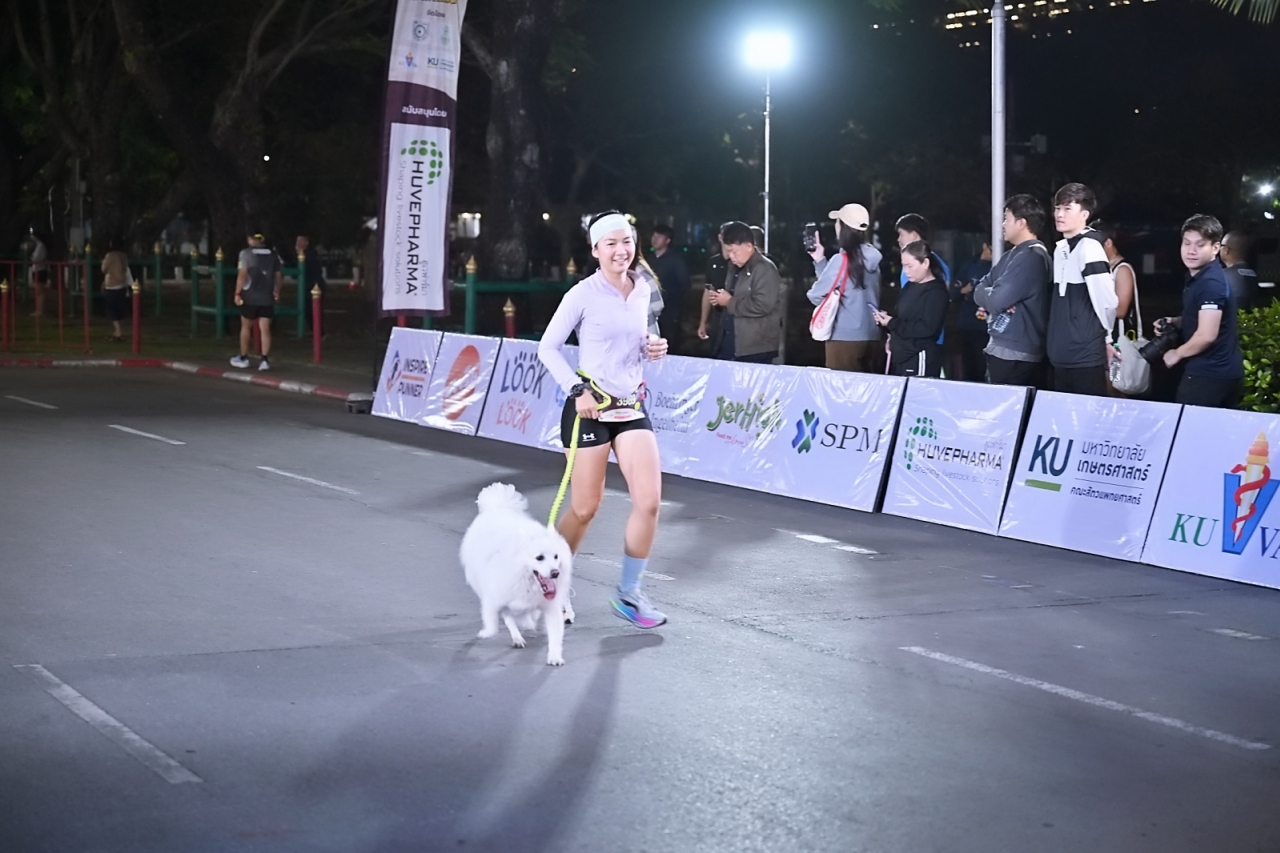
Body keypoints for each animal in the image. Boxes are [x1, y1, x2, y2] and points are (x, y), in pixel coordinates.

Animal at [460, 483, 573, 666]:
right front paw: (487, 632)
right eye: (539, 557)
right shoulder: (494, 598)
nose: (555, 573)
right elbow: (495, 623)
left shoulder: (551, 607)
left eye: (556, 557)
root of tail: (498, 507)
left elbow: (555, 635)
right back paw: (517, 637)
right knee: (507, 616)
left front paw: (555, 657)